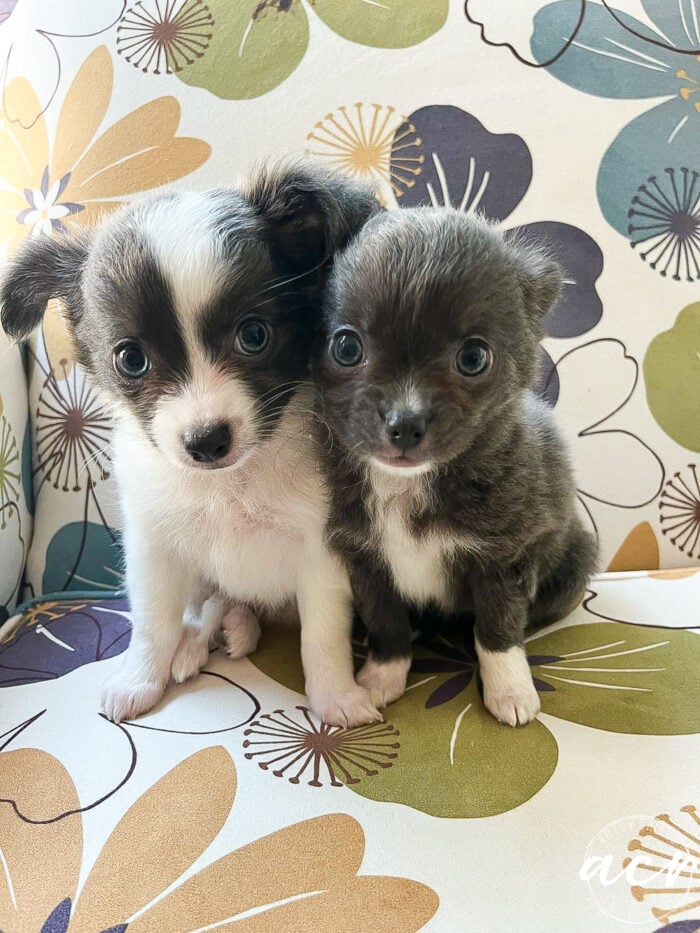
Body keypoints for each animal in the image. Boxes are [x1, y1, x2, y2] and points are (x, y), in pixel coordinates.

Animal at [1, 162, 382, 728]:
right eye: (130, 359)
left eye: (254, 335)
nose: (206, 441)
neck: (229, 485)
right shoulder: (154, 548)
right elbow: (153, 621)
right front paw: (139, 679)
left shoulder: (322, 553)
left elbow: (322, 634)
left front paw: (336, 697)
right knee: (210, 604)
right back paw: (203, 641)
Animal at [314, 209, 600, 728]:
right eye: (346, 348)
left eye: (473, 357)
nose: (404, 424)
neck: (406, 485)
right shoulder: (365, 559)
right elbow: (386, 619)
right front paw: (383, 675)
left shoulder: (505, 559)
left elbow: (499, 628)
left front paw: (510, 691)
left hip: (574, 562)